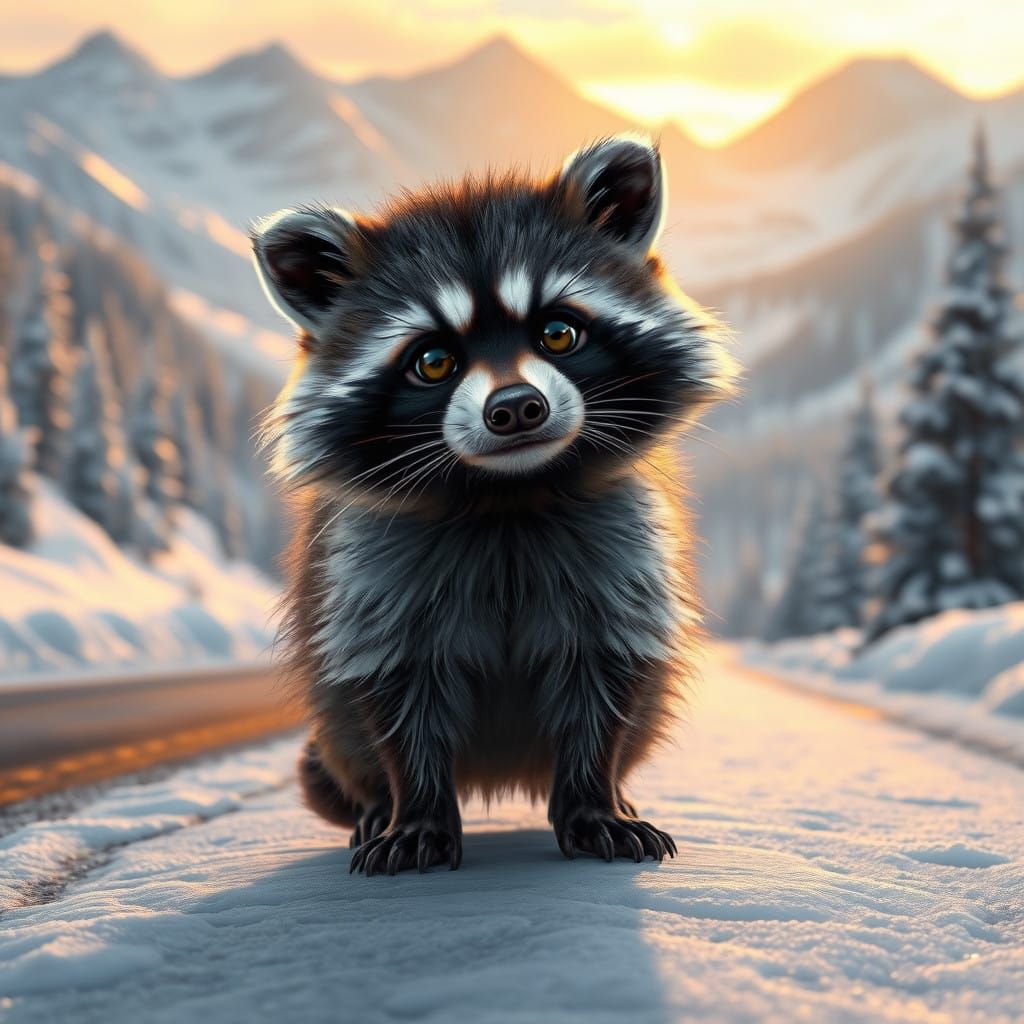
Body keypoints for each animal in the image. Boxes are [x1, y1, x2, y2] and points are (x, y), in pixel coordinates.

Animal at [252, 135, 735, 875]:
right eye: (432, 362)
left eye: (559, 333)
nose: (515, 408)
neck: (509, 493)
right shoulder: (373, 580)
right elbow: (397, 694)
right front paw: (415, 813)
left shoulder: (621, 562)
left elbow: (605, 685)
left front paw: (593, 802)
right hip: (334, 719)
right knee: (350, 736)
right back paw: (374, 806)